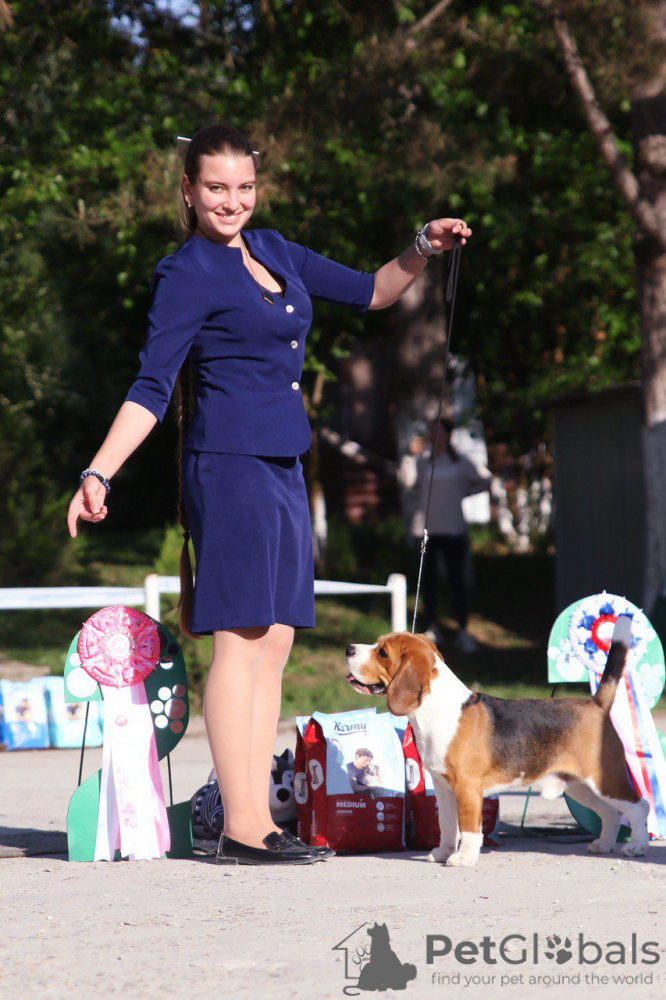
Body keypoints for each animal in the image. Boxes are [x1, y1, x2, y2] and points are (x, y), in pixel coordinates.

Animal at [345, 616, 649, 867]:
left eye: (383, 652)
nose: (348, 648)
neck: (435, 709)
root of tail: (596, 704)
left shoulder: (467, 788)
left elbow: (469, 828)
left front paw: (463, 858)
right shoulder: (443, 789)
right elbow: (447, 826)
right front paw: (443, 852)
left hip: (604, 780)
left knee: (639, 807)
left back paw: (637, 847)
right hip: (579, 787)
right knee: (610, 813)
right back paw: (605, 844)